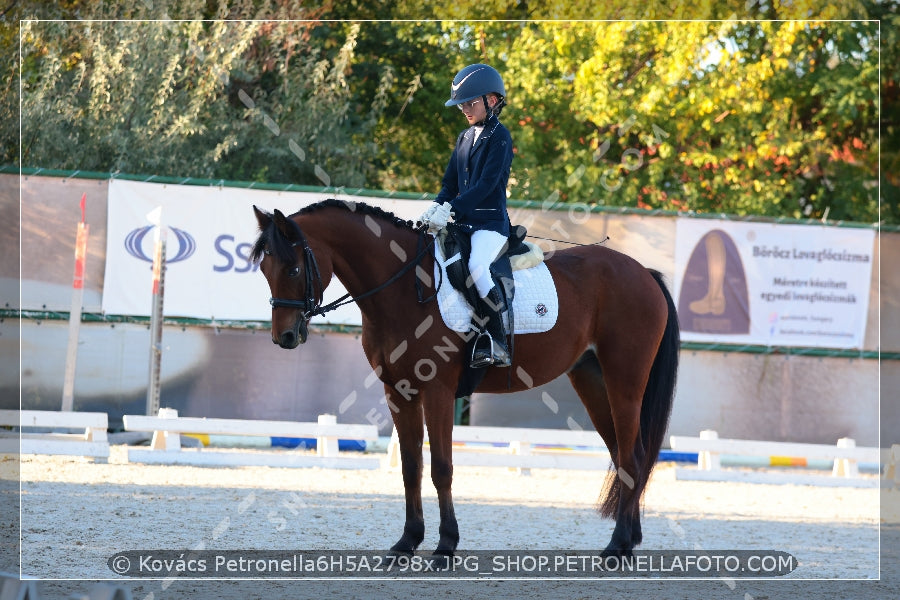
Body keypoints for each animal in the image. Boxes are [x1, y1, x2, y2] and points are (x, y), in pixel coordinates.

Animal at [250, 200, 680, 556]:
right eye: (264, 268)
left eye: (293, 268)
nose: (284, 337)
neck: (403, 287)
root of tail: (643, 271)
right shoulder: (398, 392)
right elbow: (410, 466)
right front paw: (407, 542)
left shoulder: (437, 391)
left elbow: (442, 467)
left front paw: (446, 545)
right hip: (592, 381)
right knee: (624, 455)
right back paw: (630, 539)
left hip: (625, 383)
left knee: (631, 455)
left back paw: (618, 545)